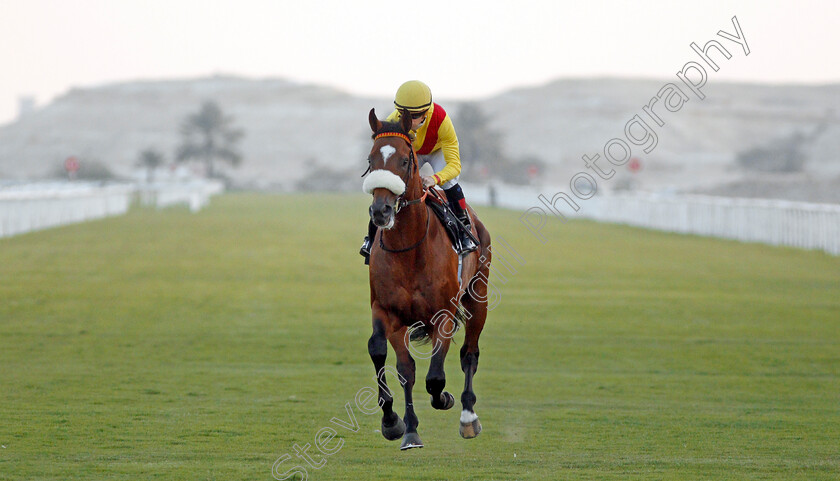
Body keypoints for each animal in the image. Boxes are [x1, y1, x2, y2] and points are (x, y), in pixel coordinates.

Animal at [362, 107, 492, 448]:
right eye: (370, 159)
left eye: (404, 161)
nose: (380, 211)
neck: (409, 249)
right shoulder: (386, 310)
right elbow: (390, 359)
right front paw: (399, 425)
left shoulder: (444, 312)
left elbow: (435, 378)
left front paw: (444, 399)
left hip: (478, 296)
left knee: (469, 353)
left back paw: (468, 417)